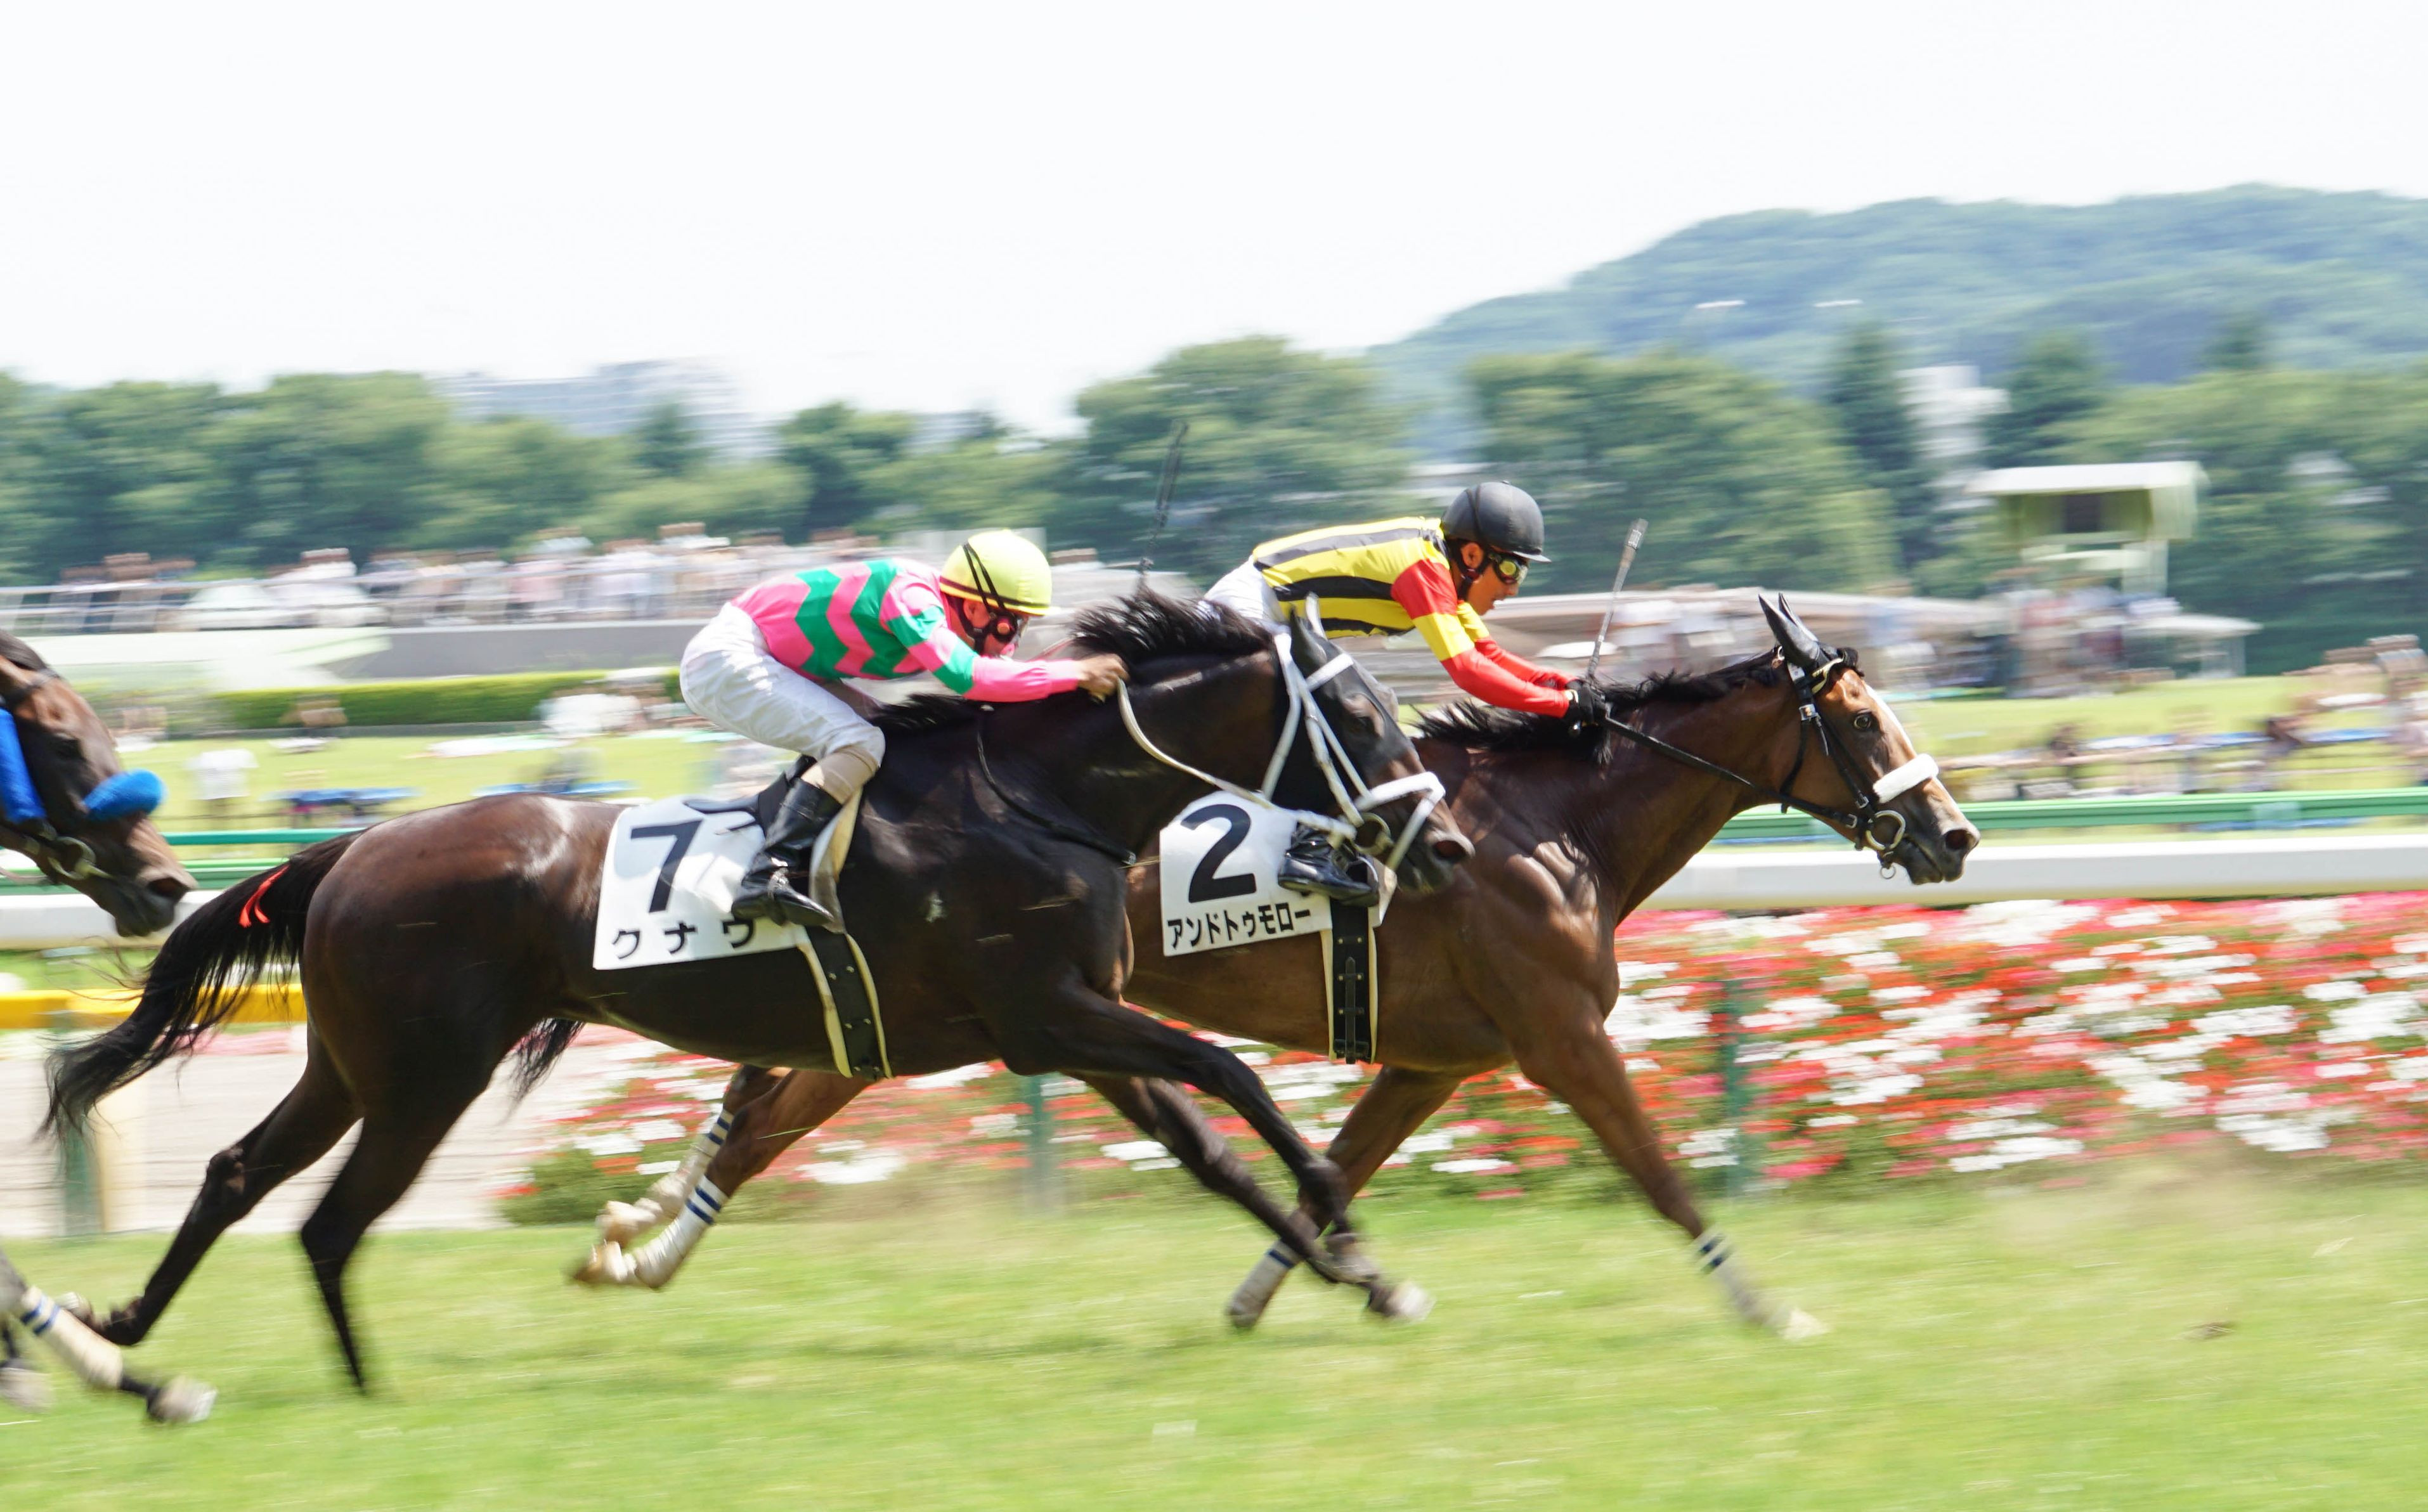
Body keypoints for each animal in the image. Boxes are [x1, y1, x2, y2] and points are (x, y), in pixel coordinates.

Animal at [42, 593, 1471, 1390]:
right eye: (1362, 717)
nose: (1447, 846)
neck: (1040, 799)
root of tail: (351, 849)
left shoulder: (1073, 1034)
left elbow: (1213, 1155)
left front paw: (1358, 1275)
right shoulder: (1049, 1017)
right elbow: (1232, 1078)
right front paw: (1345, 1226)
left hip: (354, 1062)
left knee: (238, 1173)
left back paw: (119, 1326)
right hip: (424, 1076)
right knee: (333, 1219)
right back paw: (364, 1387)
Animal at [585, 597, 1977, 1334]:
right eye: (1864, 720)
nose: (1953, 834)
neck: (1552, 825)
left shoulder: (1432, 1062)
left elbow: (1334, 1171)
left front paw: (1280, 1291)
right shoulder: (1560, 1039)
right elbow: (1662, 1174)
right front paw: (1766, 1306)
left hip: (946, 1011)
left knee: (775, 1103)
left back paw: (639, 1238)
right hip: (990, 1006)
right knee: (772, 1112)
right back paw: (645, 1240)